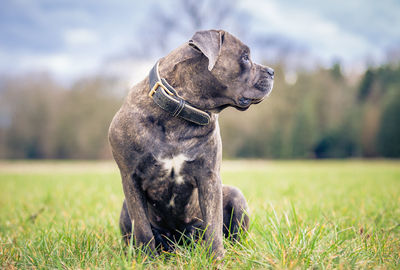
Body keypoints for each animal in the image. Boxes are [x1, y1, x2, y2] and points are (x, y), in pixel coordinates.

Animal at [108, 29, 274, 260]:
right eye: (244, 57)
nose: (272, 71)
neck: (179, 112)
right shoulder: (130, 179)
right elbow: (142, 227)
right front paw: (147, 259)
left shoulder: (209, 177)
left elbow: (213, 224)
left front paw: (217, 258)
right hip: (125, 207)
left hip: (235, 195)